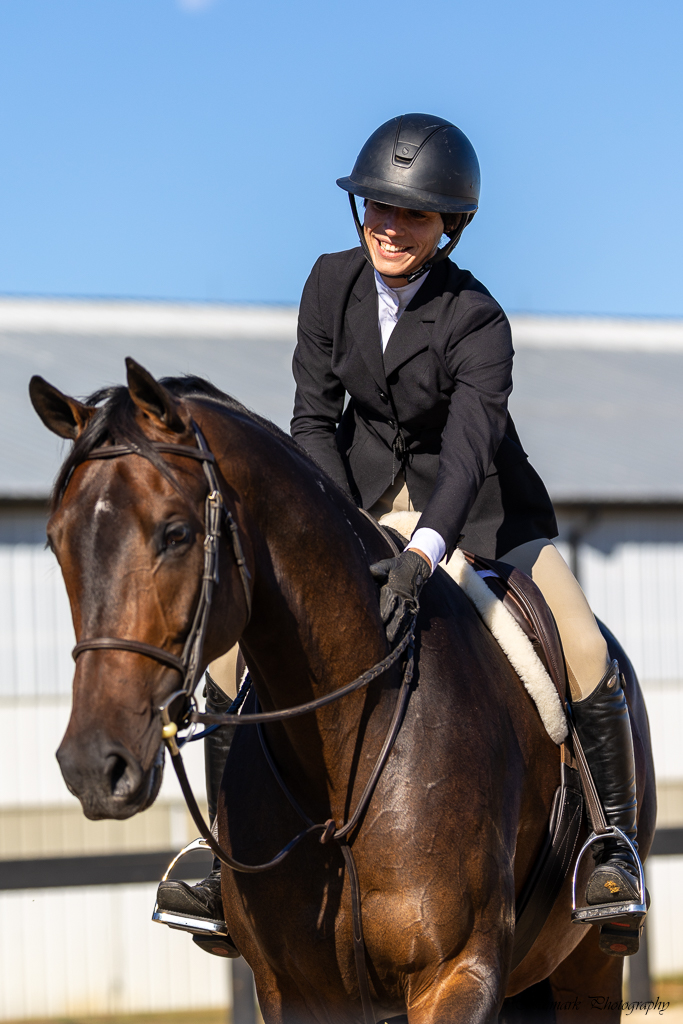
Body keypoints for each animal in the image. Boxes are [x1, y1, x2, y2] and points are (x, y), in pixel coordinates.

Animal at [29, 359, 656, 1024]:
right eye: (56, 541)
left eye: (175, 534)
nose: (93, 766)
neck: (343, 747)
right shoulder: (292, 989)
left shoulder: (460, 972)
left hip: (586, 962)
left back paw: (612, 872)